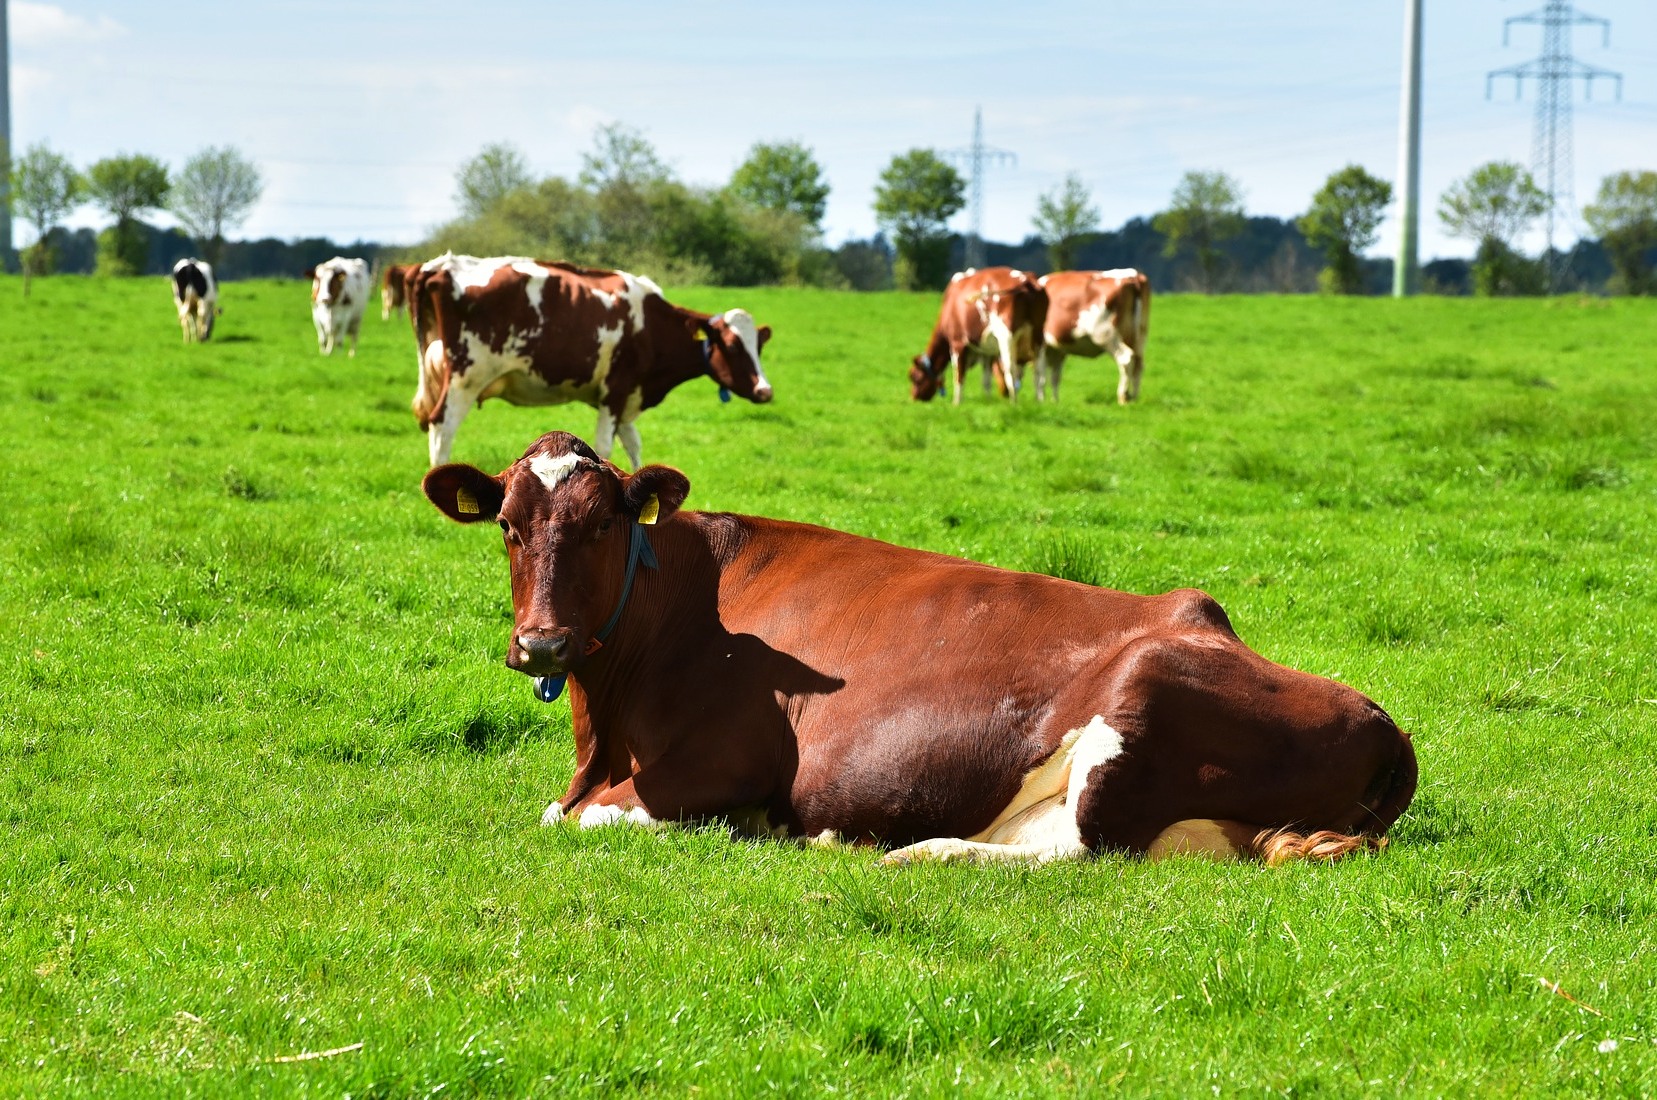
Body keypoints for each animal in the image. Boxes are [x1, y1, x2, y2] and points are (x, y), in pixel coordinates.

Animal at [414, 255, 775, 467]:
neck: (651, 326)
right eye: (732, 345)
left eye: (758, 346)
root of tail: (441, 265)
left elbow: (634, 445)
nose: (765, 391)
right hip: (466, 378)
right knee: (442, 426)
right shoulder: (615, 392)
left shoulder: (626, 396)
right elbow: (604, 446)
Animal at [420, 430, 1418, 868]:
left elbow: (579, 818)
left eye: (602, 524)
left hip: (1139, 696)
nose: (540, 641)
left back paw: (919, 854)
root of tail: (1381, 718)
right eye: (508, 525)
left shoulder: (726, 761)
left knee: (1081, 849)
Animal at [908, 266, 1047, 404]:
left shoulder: (957, 342)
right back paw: (1039, 401)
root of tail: (1027, 279)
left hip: (1006, 336)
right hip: (1038, 336)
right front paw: (988, 400)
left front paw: (956, 403)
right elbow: (986, 380)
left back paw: (1014, 402)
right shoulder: (986, 352)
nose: (913, 398)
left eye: (915, 377)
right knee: (1039, 370)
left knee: (1011, 369)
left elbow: (958, 374)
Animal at [1033, 266, 1153, 404]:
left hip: (1108, 335)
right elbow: (1055, 377)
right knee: (1139, 364)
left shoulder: (1042, 345)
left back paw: (1123, 397)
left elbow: (1040, 377)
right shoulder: (1058, 350)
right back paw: (1135, 398)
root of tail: (1133, 275)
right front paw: (1055, 402)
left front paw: (1041, 402)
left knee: (1126, 360)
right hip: (1139, 337)